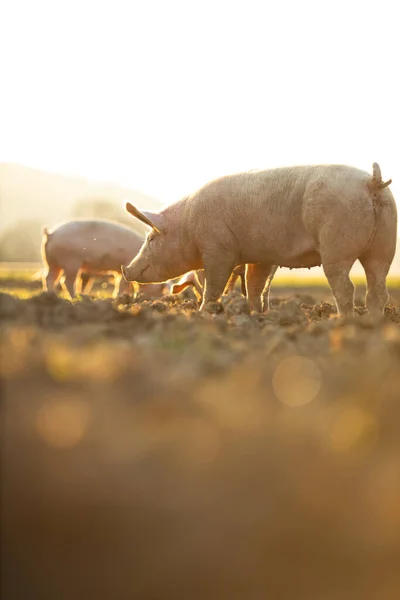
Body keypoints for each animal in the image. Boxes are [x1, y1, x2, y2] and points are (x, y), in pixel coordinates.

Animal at [122, 162, 396, 316]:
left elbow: (215, 285)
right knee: (378, 289)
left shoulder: (218, 249)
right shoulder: (261, 257)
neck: (187, 225)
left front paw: (202, 313)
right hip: (385, 245)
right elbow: (255, 286)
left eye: (151, 239)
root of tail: (372, 182)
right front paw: (257, 316)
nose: (126, 269)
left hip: (337, 246)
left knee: (346, 288)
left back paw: (343, 321)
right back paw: (374, 322)